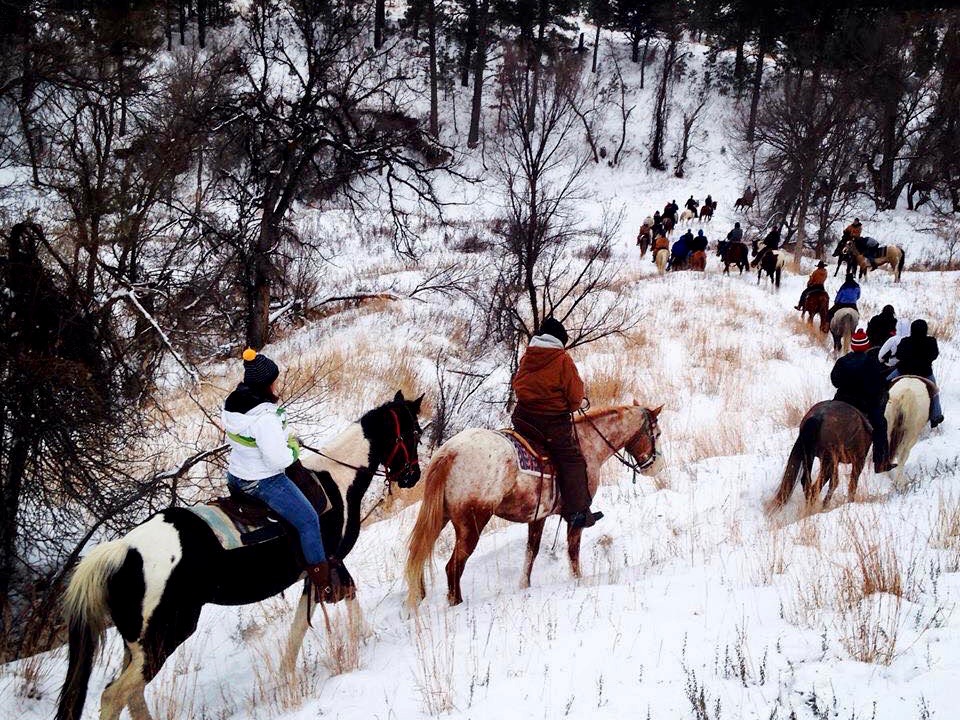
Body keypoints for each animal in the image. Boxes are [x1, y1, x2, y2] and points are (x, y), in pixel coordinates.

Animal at [56, 394, 424, 720]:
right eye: (413, 433)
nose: (413, 476)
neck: (337, 479)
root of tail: (123, 550)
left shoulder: (314, 573)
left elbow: (298, 627)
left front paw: (286, 675)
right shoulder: (329, 562)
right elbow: (347, 596)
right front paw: (367, 637)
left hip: (137, 644)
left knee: (132, 694)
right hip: (165, 634)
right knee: (114, 695)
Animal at [404, 404, 660, 608]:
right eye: (656, 433)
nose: (654, 466)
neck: (589, 444)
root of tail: (450, 453)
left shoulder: (539, 516)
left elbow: (531, 552)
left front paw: (524, 585)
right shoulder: (576, 516)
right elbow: (573, 550)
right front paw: (578, 580)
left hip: (441, 518)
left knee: (420, 555)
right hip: (472, 524)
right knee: (453, 567)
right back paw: (456, 604)